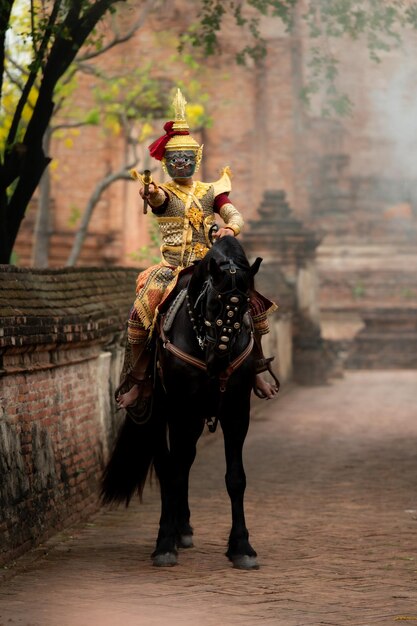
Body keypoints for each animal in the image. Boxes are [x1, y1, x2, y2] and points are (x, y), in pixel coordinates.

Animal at [100, 236, 264, 568]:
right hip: (159, 410)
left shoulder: (236, 410)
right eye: (213, 303)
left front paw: (242, 547)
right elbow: (171, 470)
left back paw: (183, 528)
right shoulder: (177, 409)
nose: (220, 362)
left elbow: (235, 478)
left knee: (185, 460)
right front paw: (164, 544)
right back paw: (173, 532)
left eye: (244, 308)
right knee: (171, 465)